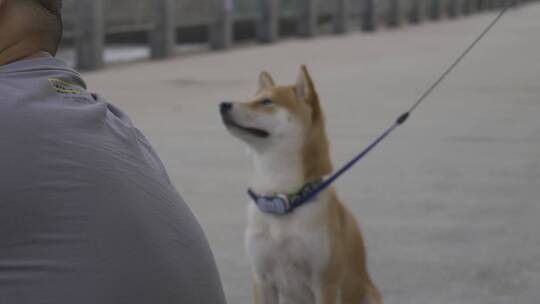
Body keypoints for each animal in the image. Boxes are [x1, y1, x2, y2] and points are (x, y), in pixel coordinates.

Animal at [218, 66, 380, 304]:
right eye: (251, 98)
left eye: (266, 101)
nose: (222, 104)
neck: (282, 198)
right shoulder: (261, 278)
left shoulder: (325, 283)